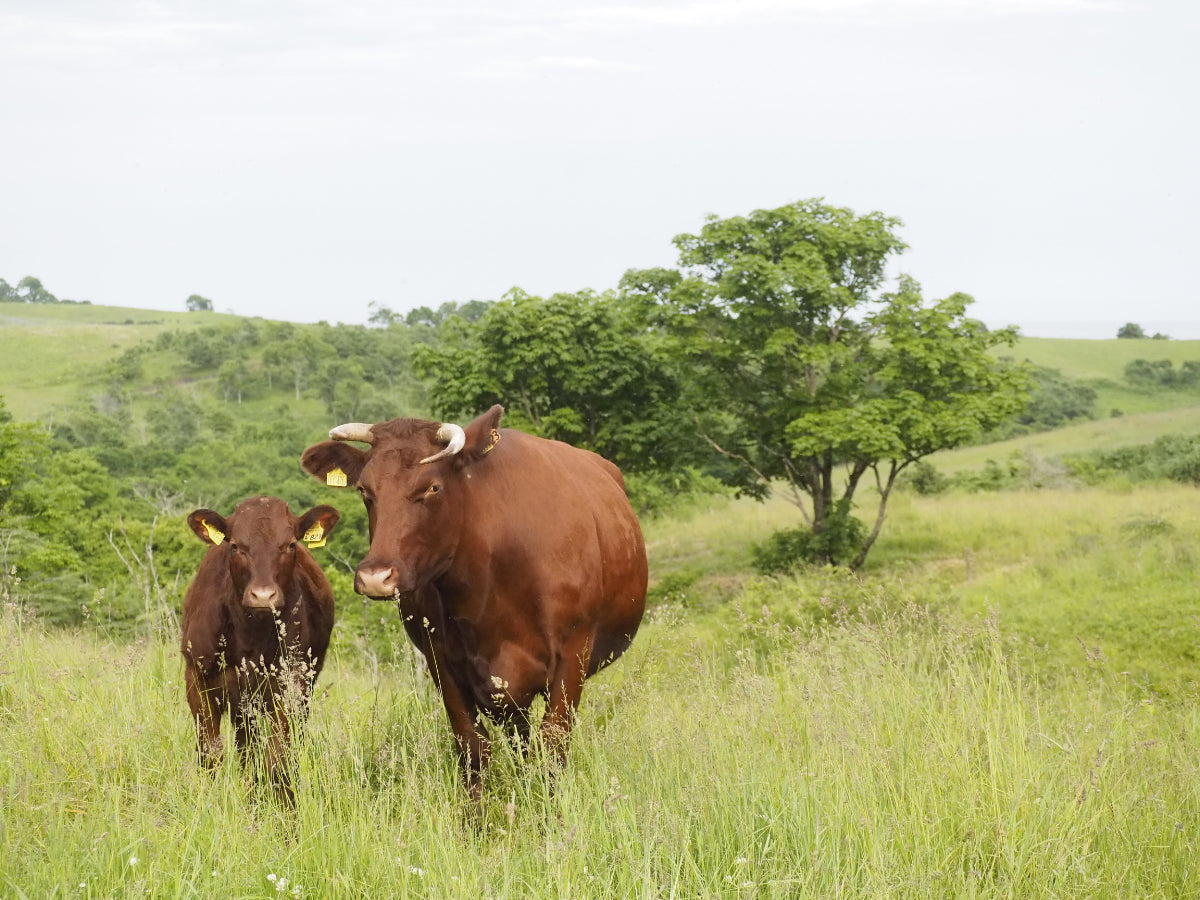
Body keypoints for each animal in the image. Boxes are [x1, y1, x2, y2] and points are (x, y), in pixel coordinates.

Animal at [182, 496, 343, 806]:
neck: (249, 638)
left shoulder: (289, 686)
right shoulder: (197, 679)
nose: (263, 596)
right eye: (235, 545)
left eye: (290, 544)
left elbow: (278, 759)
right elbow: (210, 752)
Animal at [300, 405, 648, 801]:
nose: (375, 576)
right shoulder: (443, 662)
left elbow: (552, 748)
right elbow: (472, 748)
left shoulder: (573, 653)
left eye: (432, 487)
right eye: (364, 490)